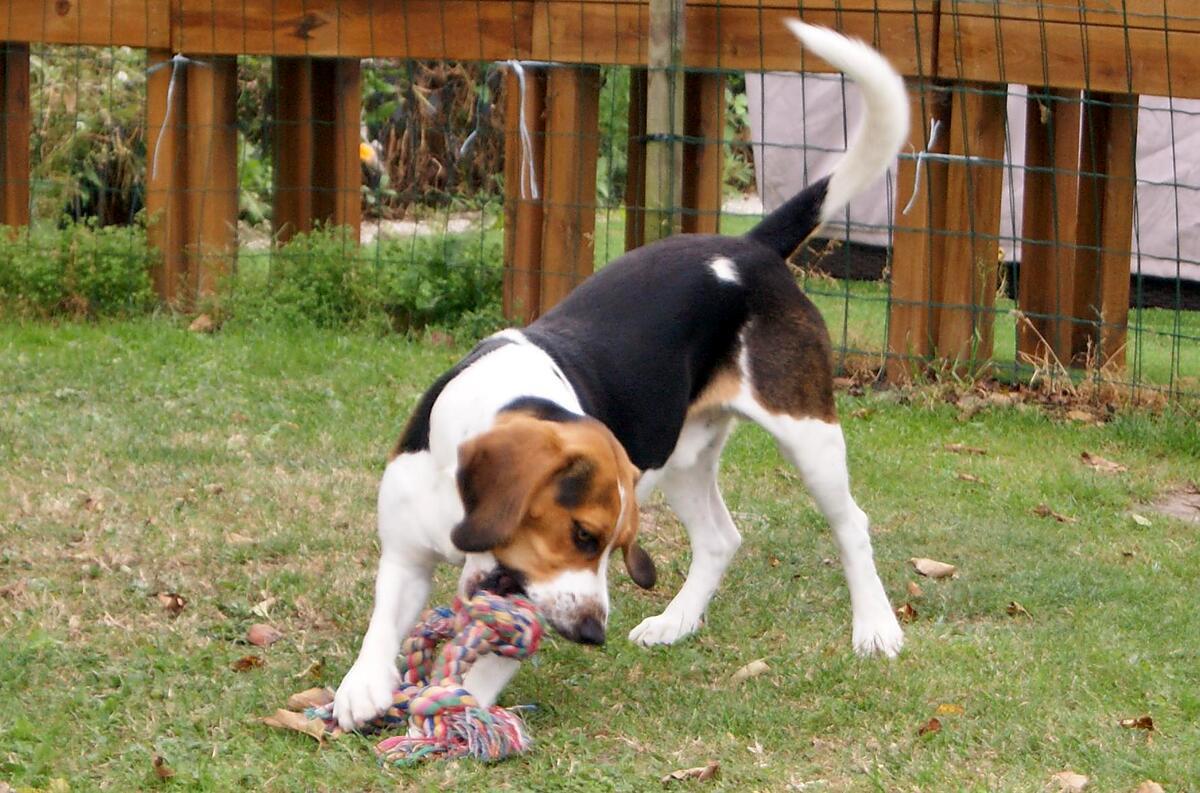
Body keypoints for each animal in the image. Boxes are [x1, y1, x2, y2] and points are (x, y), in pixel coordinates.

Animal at [333, 20, 902, 729]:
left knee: (853, 526)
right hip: (680, 452)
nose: (592, 633)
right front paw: (362, 684)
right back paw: (676, 623)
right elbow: (383, 622)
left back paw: (876, 628)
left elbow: (492, 662)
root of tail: (749, 247)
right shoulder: (405, 553)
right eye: (583, 533)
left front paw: (458, 712)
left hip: (809, 433)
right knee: (721, 537)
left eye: (611, 546)